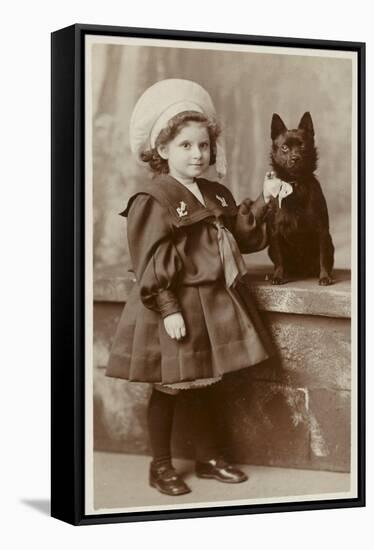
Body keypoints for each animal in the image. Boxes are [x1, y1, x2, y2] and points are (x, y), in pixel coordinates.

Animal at [266, 110, 334, 286]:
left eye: (302, 145)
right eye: (284, 147)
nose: (295, 158)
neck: (295, 184)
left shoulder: (322, 231)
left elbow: (323, 257)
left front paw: (324, 276)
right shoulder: (275, 232)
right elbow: (280, 259)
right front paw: (278, 276)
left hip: (330, 242)